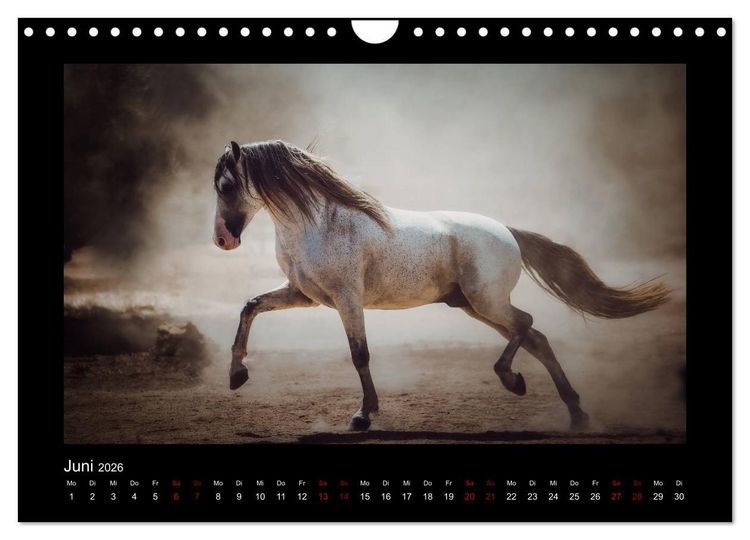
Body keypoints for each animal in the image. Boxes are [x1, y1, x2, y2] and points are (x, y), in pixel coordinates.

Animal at [212, 139, 670, 432]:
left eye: (227, 185)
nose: (223, 241)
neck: (318, 223)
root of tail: (507, 231)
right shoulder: (304, 296)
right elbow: (250, 305)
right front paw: (237, 375)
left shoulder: (347, 299)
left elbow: (360, 355)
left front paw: (363, 415)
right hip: (472, 306)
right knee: (536, 337)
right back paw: (575, 414)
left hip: (486, 302)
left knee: (526, 324)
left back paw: (513, 380)